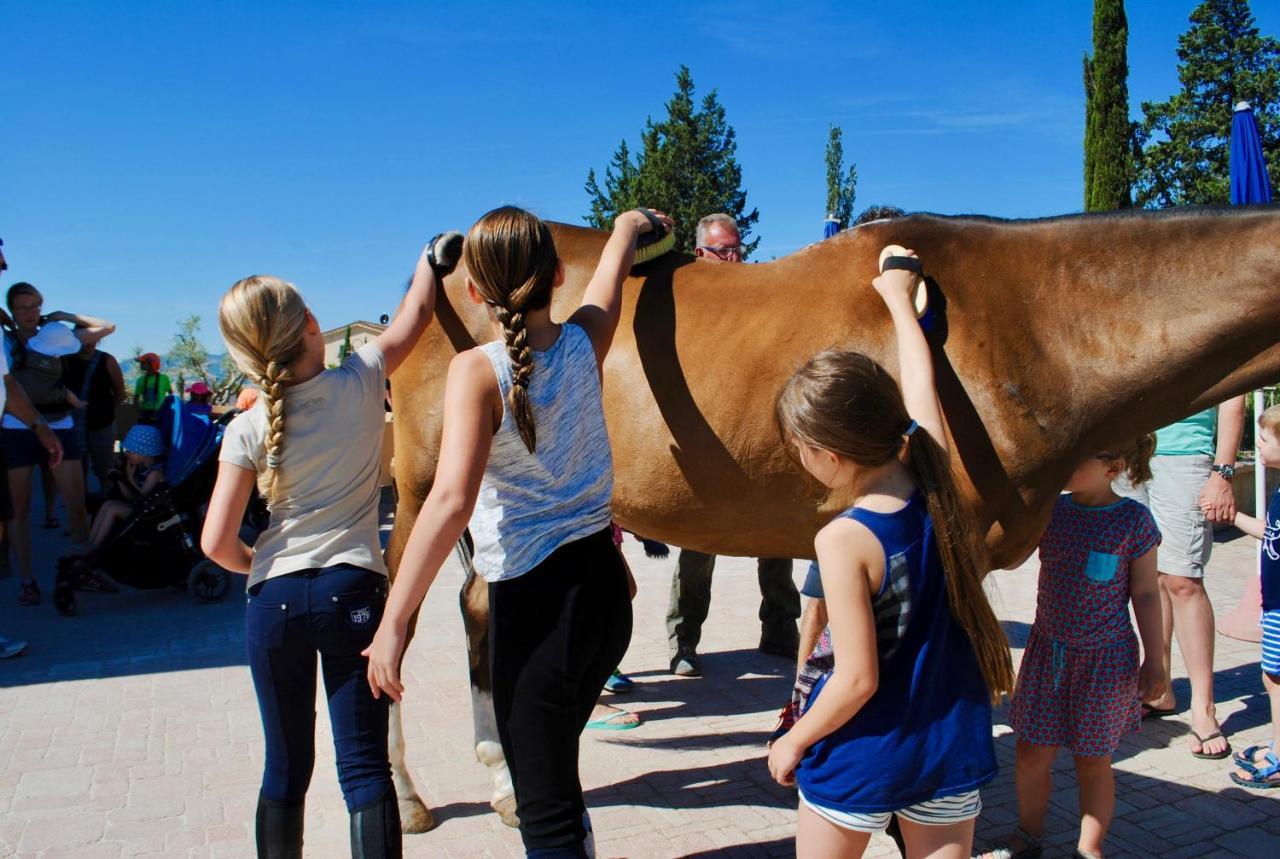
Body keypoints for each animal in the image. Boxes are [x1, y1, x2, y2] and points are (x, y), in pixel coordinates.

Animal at [378, 204, 1280, 829]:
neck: (1020, 319)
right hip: (424, 489)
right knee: (398, 617)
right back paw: (412, 796)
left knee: (482, 609)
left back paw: (504, 778)